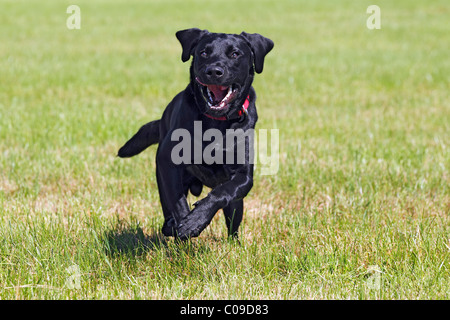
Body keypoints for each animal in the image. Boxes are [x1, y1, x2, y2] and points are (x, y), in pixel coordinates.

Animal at [118, 28, 274, 239]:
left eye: (235, 54)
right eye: (204, 52)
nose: (214, 71)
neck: (216, 123)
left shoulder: (243, 176)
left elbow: (223, 191)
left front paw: (197, 218)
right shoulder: (167, 161)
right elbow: (176, 201)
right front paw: (187, 222)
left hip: (236, 206)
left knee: (233, 223)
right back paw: (170, 225)